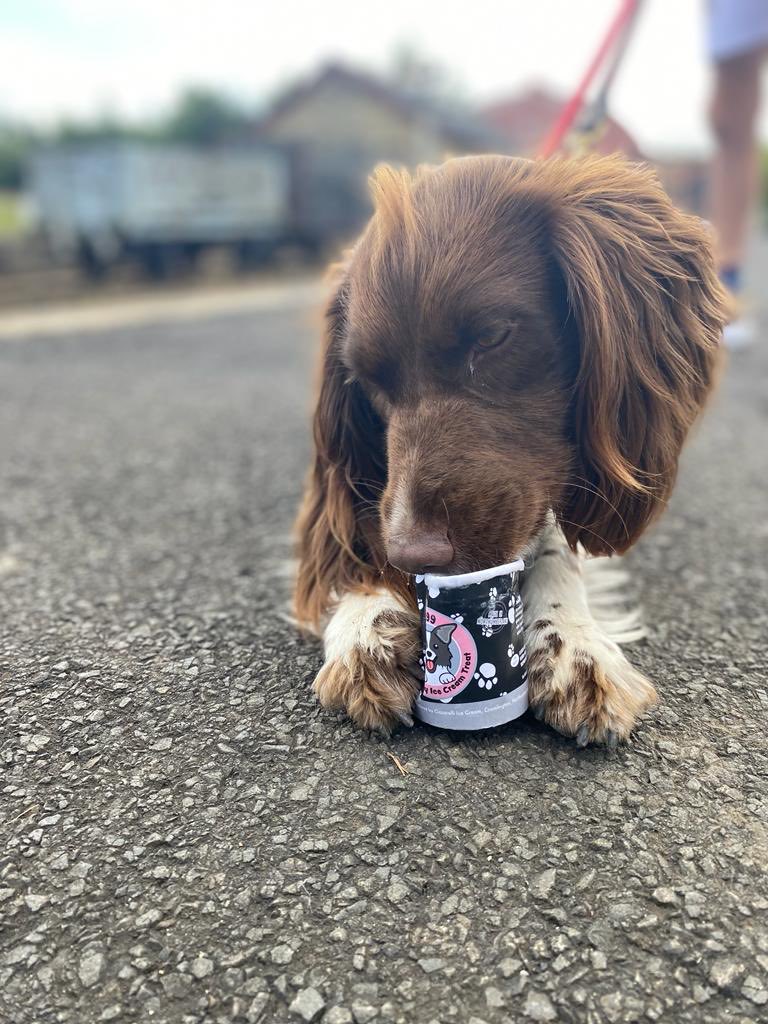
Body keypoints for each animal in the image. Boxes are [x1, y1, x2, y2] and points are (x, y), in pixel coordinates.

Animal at [294, 153, 729, 745]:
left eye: (492, 336)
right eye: (367, 380)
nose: (413, 556)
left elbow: (556, 551)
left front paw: (572, 639)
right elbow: (353, 542)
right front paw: (368, 622)